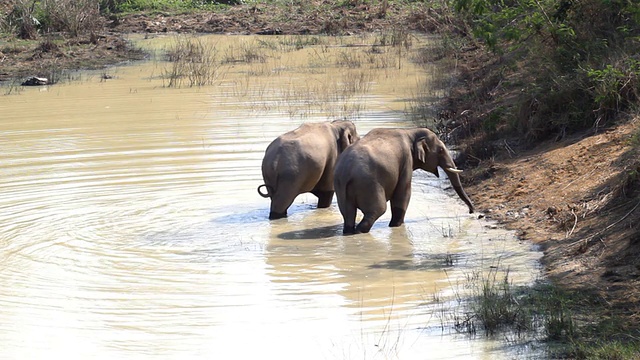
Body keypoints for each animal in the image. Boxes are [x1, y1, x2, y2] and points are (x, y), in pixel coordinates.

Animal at [336, 126, 476, 233]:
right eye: (441, 150)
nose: (472, 212)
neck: (411, 131)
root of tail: (346, 171)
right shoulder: (406, 160)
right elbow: (403, 192)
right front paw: (396, 225)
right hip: (369, 184)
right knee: (377, 210)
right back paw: (359, 231)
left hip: (342, 189)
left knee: (348, 215)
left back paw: (349, 232)